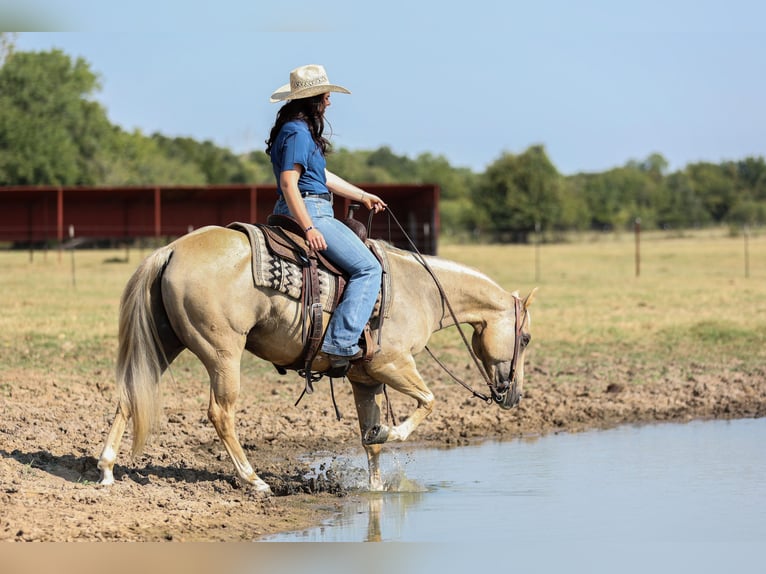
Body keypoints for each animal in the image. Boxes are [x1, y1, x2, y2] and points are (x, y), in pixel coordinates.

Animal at [97, 225, 536, 494]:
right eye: (526, 337)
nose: (513, 395)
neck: (420, 291)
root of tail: (170, 250)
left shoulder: (365, 380)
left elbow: (370, 442)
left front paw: (376, 489)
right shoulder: (392, 365)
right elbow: (428, 402)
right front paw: (390, 432)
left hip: (163, 343)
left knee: (129, 396)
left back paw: (106, 469)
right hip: (223, 353)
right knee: (221, 413)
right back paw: (254, 480)